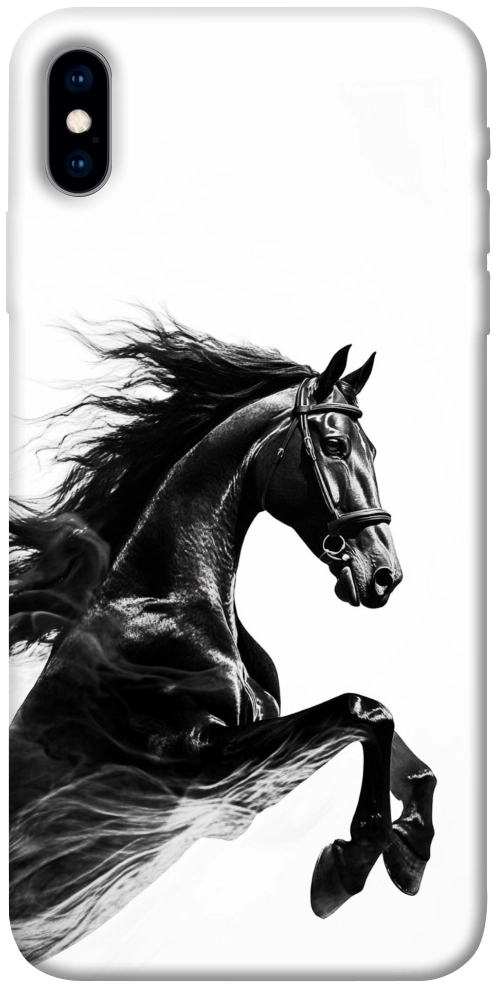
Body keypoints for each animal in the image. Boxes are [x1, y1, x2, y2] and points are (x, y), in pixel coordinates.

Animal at [9, 318, 436, 964]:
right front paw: (346, 867)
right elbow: (364, 711)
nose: (385, 574)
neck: (167, 606)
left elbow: (399, 750)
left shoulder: (240, 785)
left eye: (375, 450)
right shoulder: (201, 770)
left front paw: (410, 851)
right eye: (335, 445)